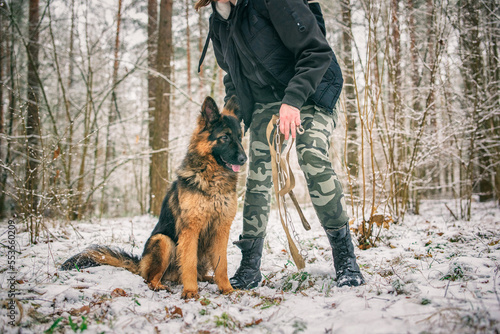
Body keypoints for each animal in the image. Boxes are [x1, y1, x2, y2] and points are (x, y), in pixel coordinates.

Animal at [61, 95, 247, 298]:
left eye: (240, 137)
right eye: (225, 137)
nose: (244, 158)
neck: (213, 179)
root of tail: (140, 263)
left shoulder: (221, 229)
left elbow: (222, 264)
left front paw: (227, 288)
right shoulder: (190, 230)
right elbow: (189, 263)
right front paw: (190, 291)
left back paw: (207, 278)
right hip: (163, 241)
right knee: (150, 278)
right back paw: (161, 285)